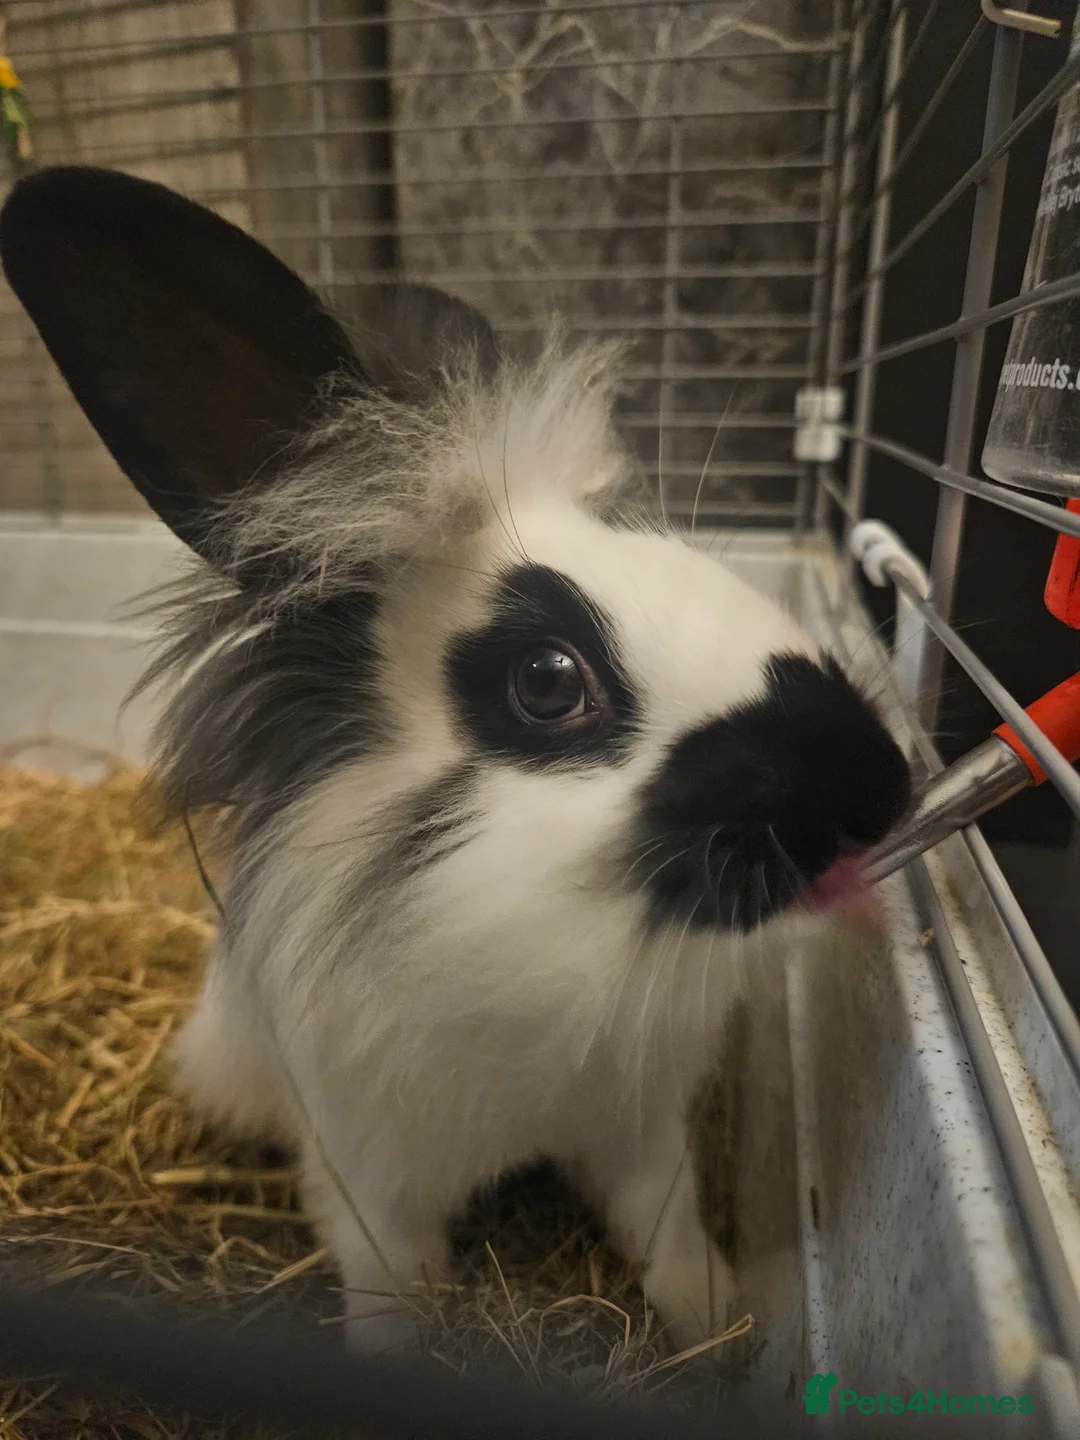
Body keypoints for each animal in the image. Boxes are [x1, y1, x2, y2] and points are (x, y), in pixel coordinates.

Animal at [0, 166, 912, 1356]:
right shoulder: (366, 1173)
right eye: (546, 680)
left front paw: (722, 1324)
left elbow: (668, 1229)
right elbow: (390, 1283)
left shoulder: (637, 1127)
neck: (554, 937)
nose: (881, 785)